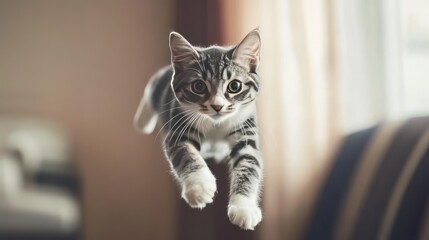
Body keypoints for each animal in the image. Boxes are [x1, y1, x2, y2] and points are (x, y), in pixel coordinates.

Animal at [134, 29, 262, 230]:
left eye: (234, 86)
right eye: (199, 86)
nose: (217, 106)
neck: (216, 124)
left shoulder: (246, 131)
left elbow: (249, 164)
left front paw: (244, 208)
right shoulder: (179, 127)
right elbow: (186, 153)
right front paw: (199, 186)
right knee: (152, 86)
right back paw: (142, 121)